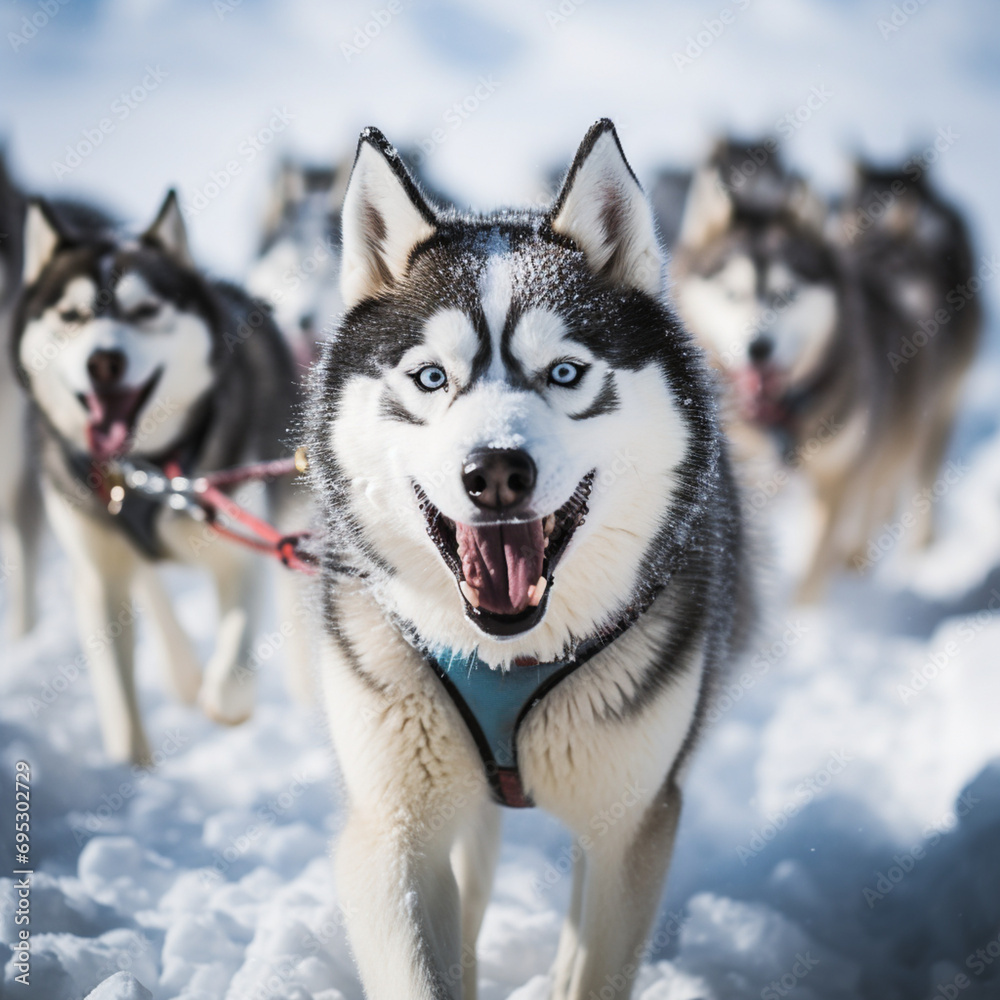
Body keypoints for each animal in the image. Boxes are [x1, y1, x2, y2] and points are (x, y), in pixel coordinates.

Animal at [13, 191, 296, 760]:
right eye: (71, 315)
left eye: (145, 311)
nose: (104, 361)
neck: (147, 469)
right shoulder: (97, 575)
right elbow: (120, 703)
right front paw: (132, 769)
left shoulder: (240, 553)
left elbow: (233, 677)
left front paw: (224, 704)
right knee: (150, 585)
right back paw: (181, 670)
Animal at [304, 123, 752, 1000]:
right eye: (431, 376)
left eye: (565, 372)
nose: (496, 472)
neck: (503, 655)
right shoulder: (391, 832)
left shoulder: (630, 830)